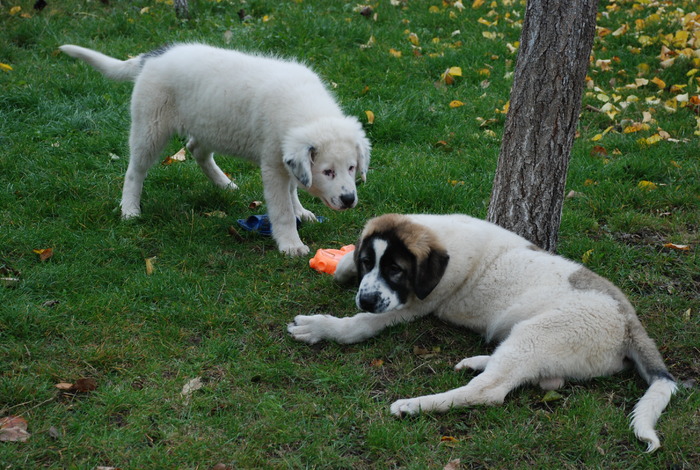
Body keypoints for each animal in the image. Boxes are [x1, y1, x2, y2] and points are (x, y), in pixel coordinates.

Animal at [288, 213, 676, 452]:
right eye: (369, 262)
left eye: (396, 270)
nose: (366, 299)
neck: (444, 236)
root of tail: (629, 321)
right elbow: (348, 263)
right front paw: (343, 267)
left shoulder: (411, 305)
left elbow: (358, 325)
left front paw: (320, 326)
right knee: (543, 378)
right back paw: (478, 361)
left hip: (540, 332)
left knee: (488, 392)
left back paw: (415, 405)